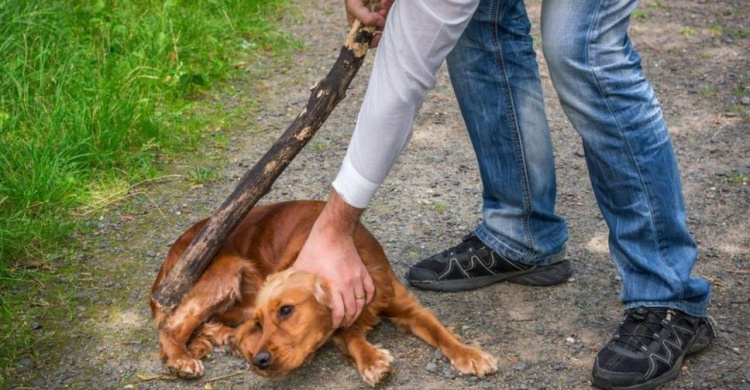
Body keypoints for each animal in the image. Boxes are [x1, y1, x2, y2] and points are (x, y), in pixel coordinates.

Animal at [151, 203, 500, 386]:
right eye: (263, 322)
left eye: (286, 310)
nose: (261, 361)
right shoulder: (338, 324)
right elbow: (353, 338)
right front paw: (373, 360)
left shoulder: (407, 306)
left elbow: (441, 332)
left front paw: (470, 354)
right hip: (225, 272)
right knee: (172, 325)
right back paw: (182, 359)